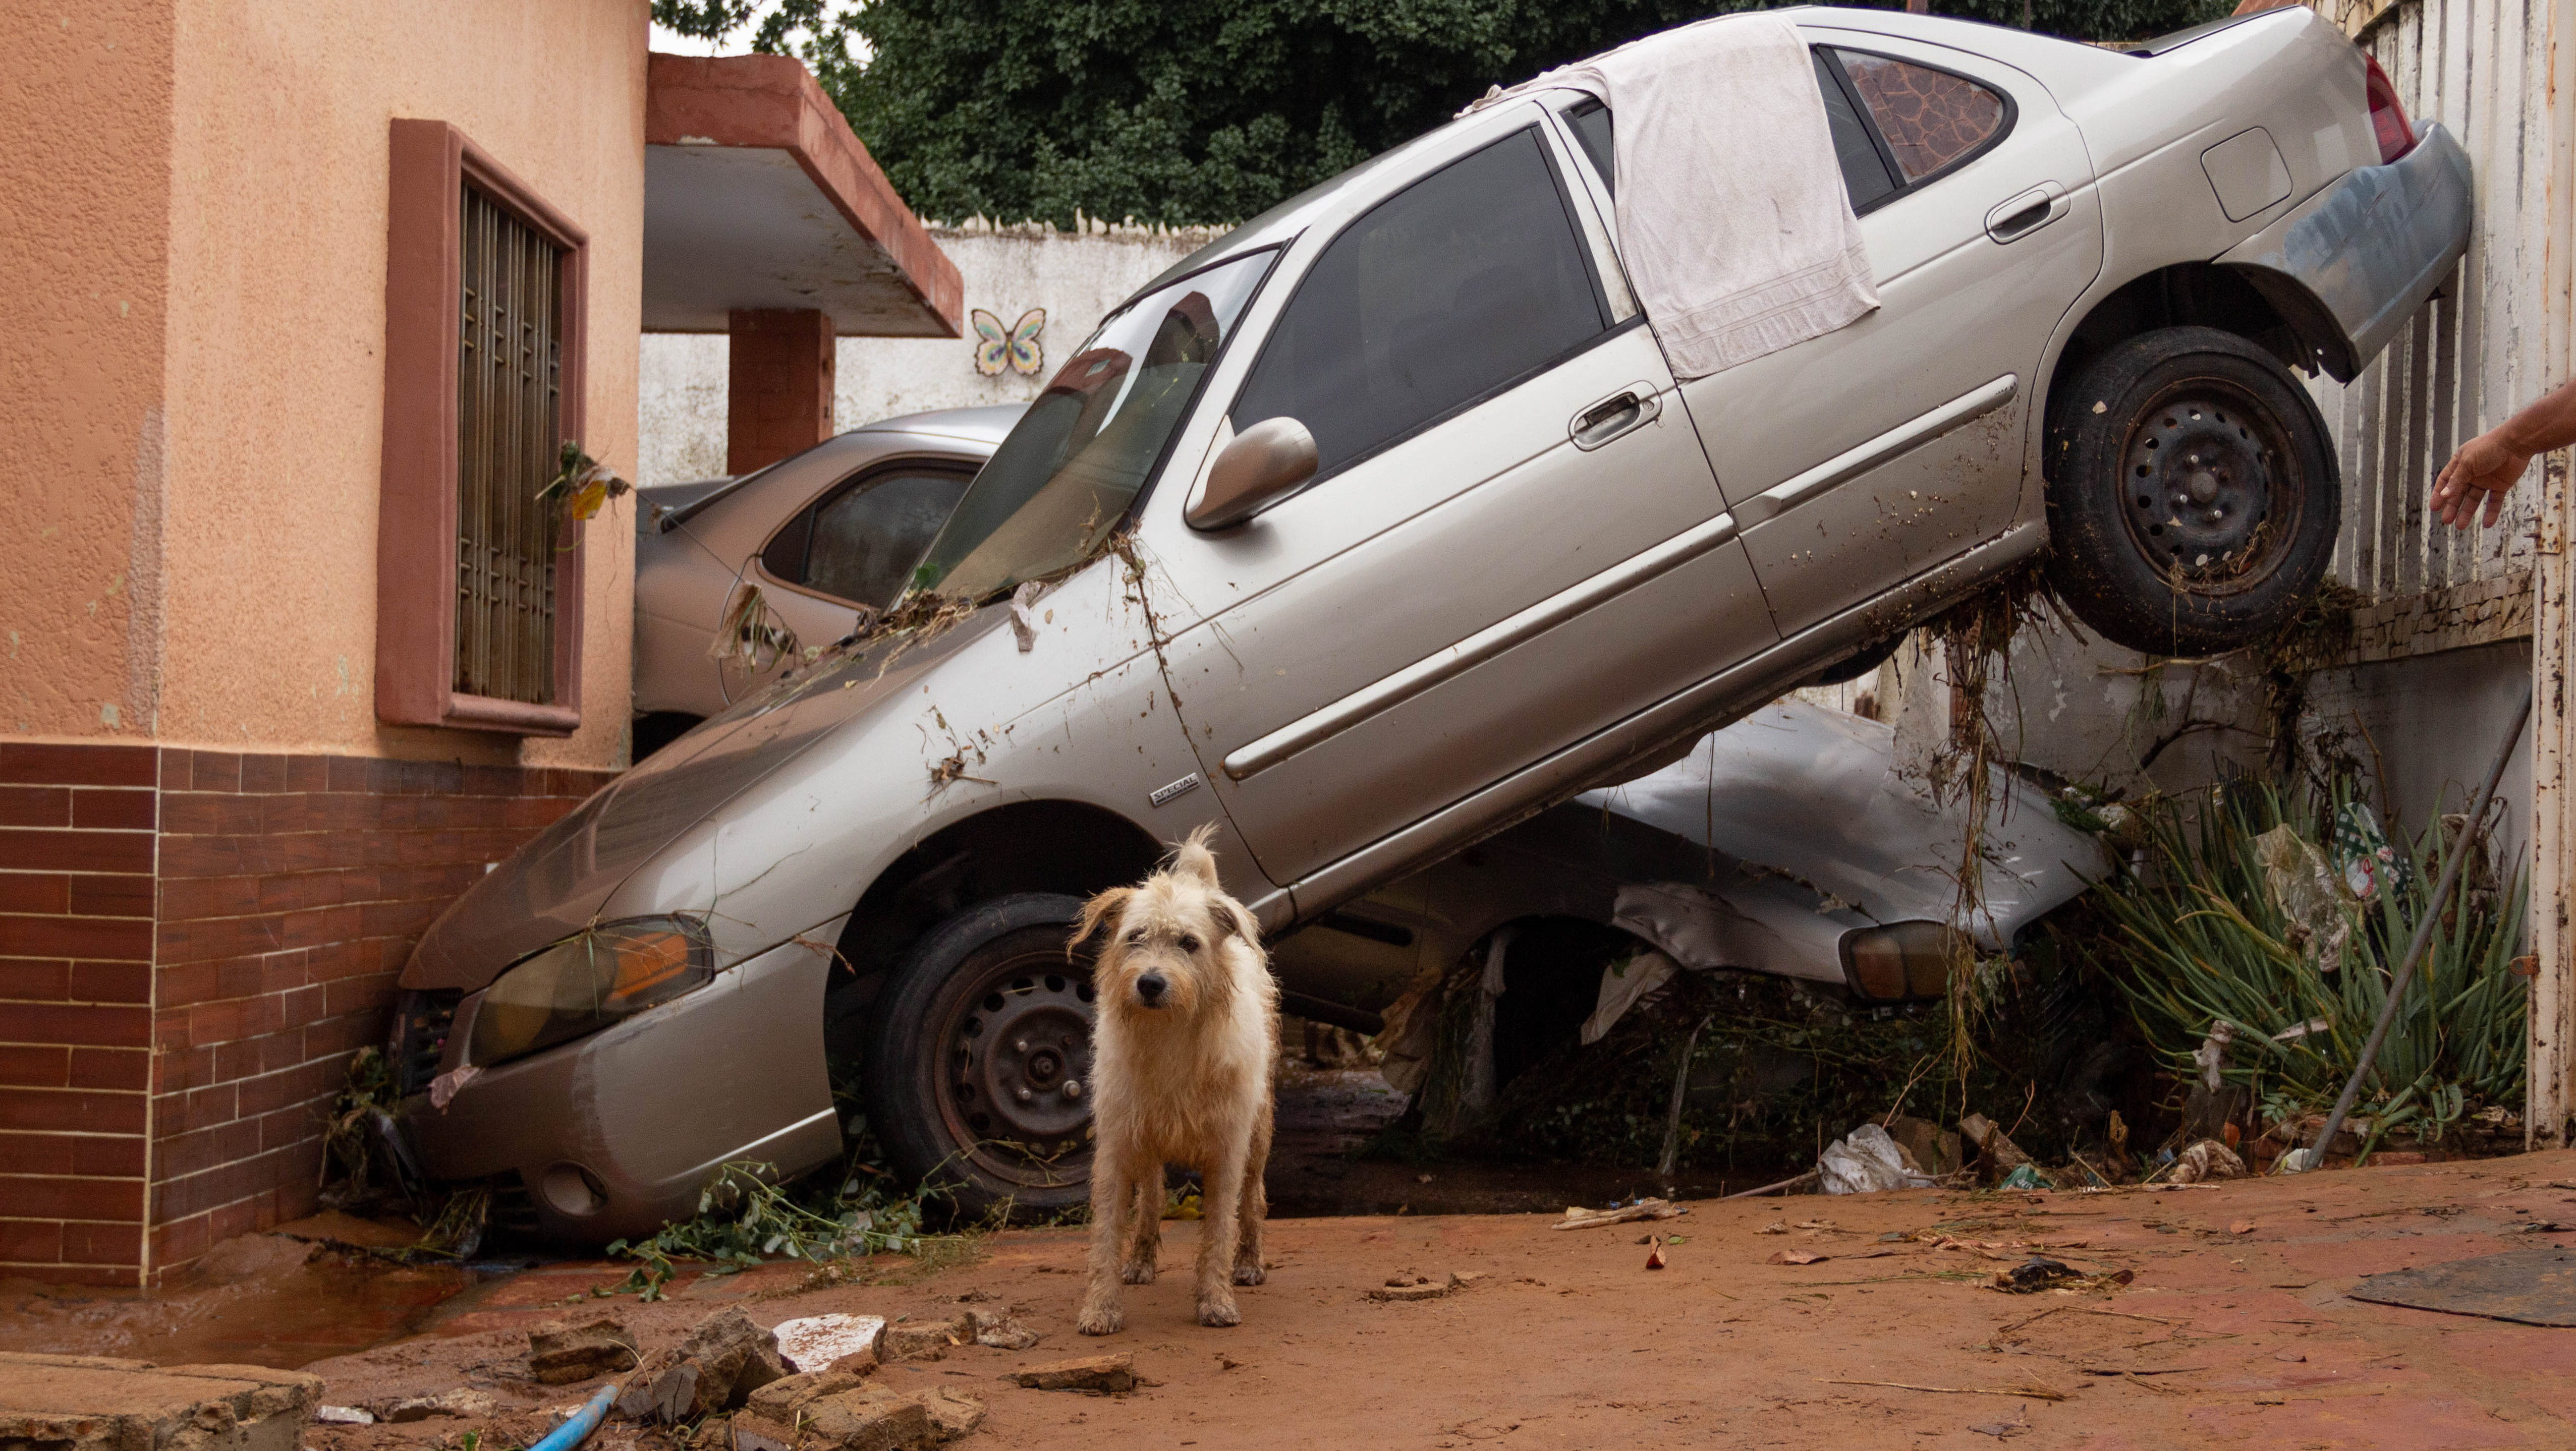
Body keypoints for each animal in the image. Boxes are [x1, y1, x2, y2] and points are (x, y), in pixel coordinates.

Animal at [1066, 830, 1277, 1340]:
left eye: (1188, 943)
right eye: (1135, 937)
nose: (1150, 982)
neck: (1170, 1035)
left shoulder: (1227, 1150)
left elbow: (1219, 1230)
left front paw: (1216, 1300)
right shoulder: (1117, 1146)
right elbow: (1106, 1235)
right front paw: (1101, 1307)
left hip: (1259, 1134)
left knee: (1254, 1199)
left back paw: (1250, 1262)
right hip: (1147, 1142)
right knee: (1152, 1200)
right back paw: (1141, 1260)